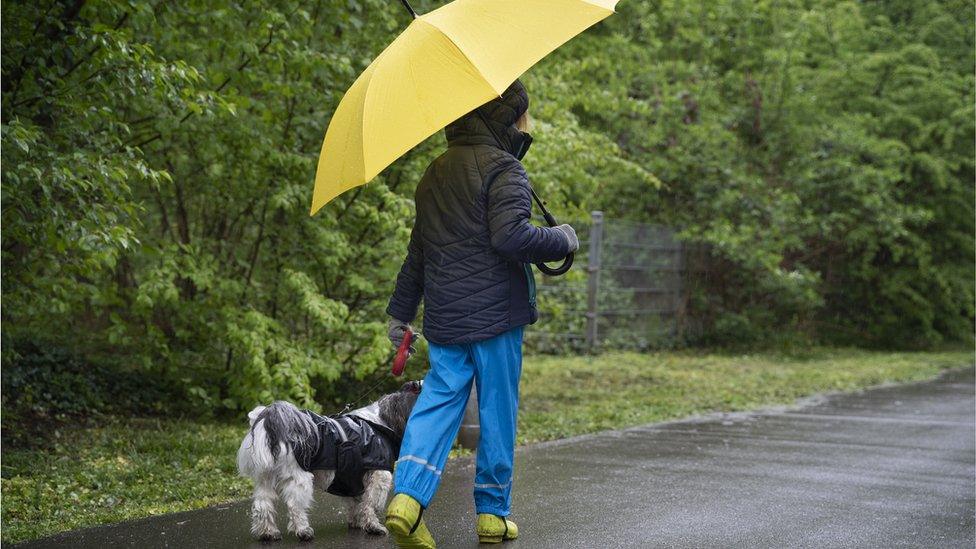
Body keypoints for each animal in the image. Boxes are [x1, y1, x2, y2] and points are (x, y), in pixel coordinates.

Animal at [238, 382, 422, 540]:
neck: (378, 421)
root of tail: (272, 424)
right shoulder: (379, 475)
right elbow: (370, 504)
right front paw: (373, 526)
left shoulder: (350, 478)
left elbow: (356, 502)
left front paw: (357, 522)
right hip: (298, 478)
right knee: (294, 505)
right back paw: (303, 531)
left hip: (266, 477)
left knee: (263, 504)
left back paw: (268, 533)